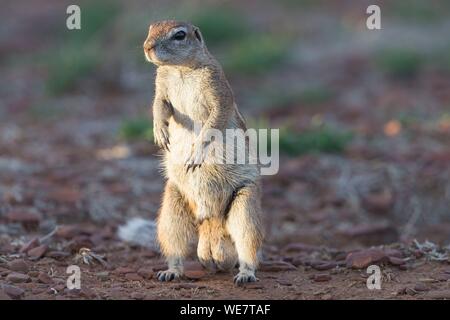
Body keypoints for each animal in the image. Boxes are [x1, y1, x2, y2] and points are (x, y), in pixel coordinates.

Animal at [143, 20, 264, 284]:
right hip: (171, 208)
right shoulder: (161, 87)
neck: (179, 69)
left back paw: (245, 274)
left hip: (245, 204)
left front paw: (196, 152)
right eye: (150, 28)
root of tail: (211, 222)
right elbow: (158, 105)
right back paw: (171, 271)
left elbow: (214, 120)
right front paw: (160, 131)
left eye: (179, 35)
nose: (147, 47)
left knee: (248, 244)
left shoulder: (217, 88)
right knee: (175, 245)